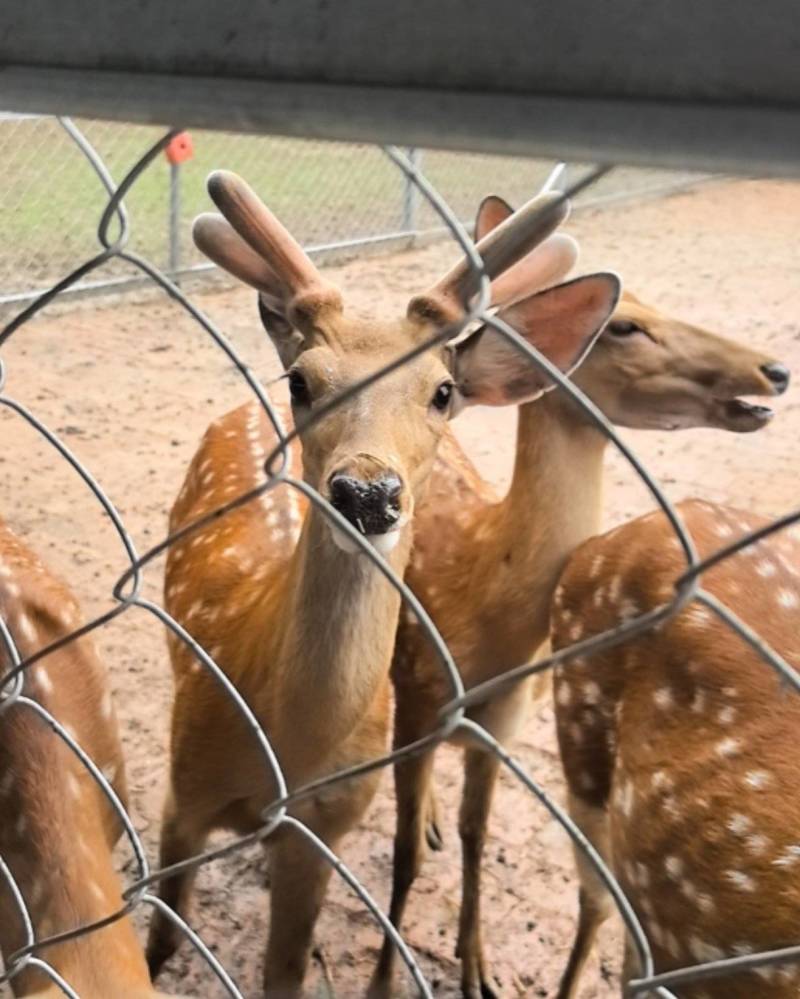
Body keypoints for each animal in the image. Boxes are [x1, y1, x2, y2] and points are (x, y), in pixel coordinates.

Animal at [143, 169, 623, 996]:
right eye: (302, 380)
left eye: (442, 391)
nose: (367, 491)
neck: (287, 745)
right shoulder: (183, 780)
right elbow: (160, 943)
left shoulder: (324, 827)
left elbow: (286, 974)